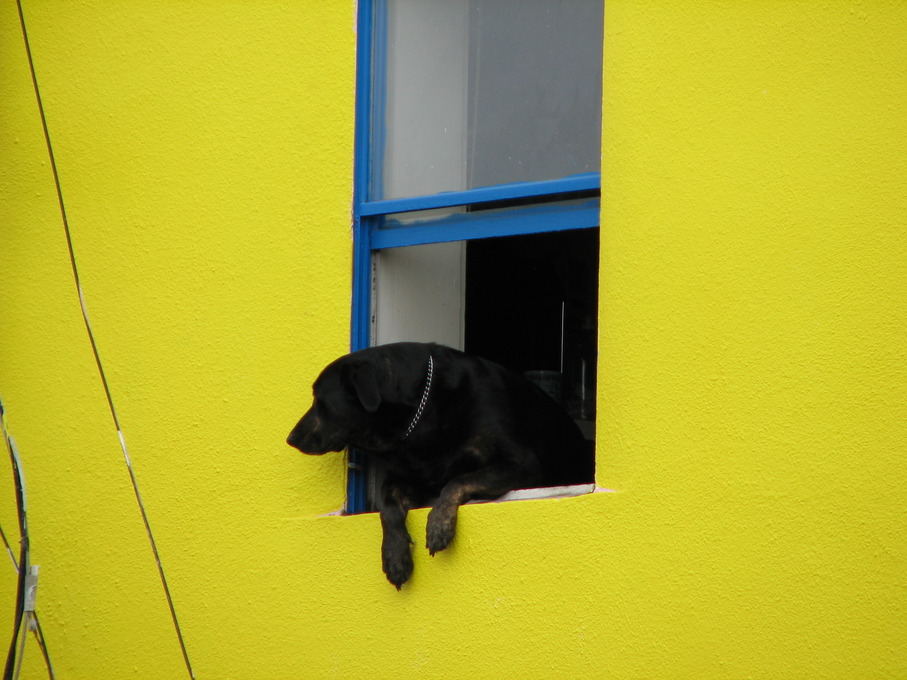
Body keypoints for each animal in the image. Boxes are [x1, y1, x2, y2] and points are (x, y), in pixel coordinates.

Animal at [288, 342, 592, 588]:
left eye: (320, 400)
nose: (290, 438)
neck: (422, 415)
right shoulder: (405, 476)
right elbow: (387, 508)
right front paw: (395, 555)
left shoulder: (520, 463)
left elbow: (458, 480)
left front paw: (439, 522)